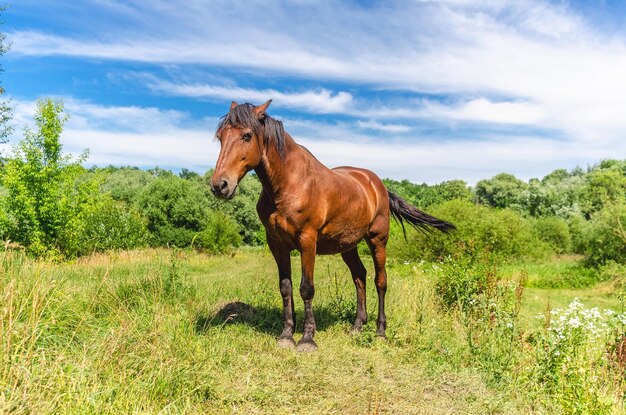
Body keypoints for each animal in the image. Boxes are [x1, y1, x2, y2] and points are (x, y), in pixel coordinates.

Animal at [211, 100, 454, 352]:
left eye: (247, 135)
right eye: (220, 136)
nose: (220, 185)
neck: (289, 184)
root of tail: (378, 185)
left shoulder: (308, 241)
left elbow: (306, 288)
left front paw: (307, 339)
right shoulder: (277, 244)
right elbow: (285, 287)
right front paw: (286, 335)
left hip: (377, 240)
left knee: (380, 281)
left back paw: (380, 331)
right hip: (348, 246)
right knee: (359, 276)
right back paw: (357, 326)